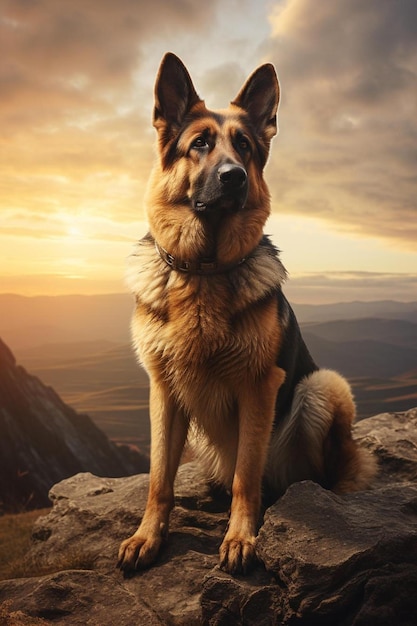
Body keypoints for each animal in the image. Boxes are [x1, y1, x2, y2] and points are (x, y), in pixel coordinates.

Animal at [116, 53, 374, 576]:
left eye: (245, 146)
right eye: (199, 144)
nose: (234, 175)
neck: (204, 271)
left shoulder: (259, 387)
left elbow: (245, 477)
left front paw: (240, 538)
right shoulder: (162, 389)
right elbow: (158, 478)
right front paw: (147, 536)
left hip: (324, 386)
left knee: (314, 474)